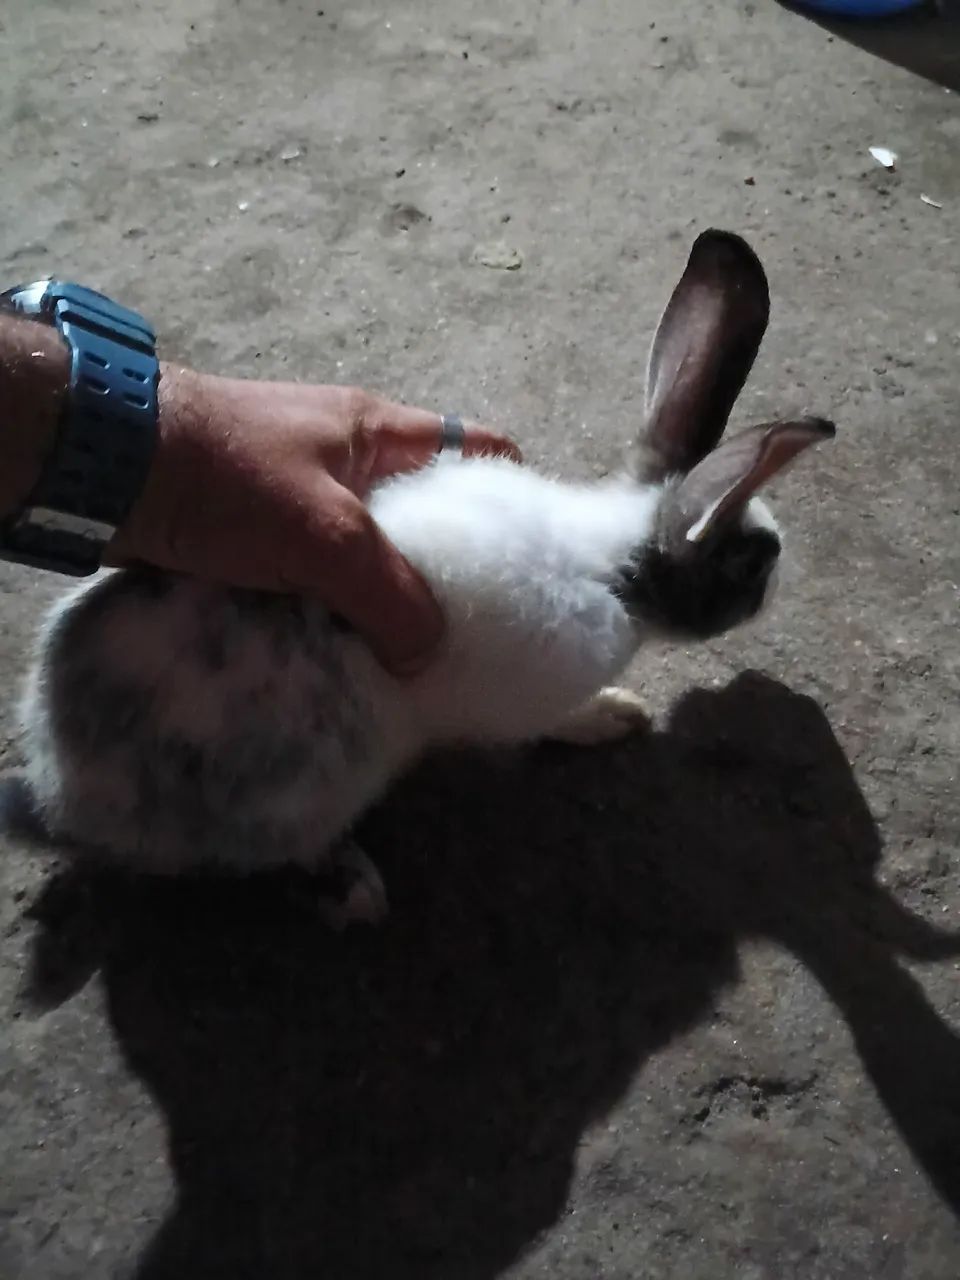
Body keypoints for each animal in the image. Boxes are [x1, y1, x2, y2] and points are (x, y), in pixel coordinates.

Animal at [18, 229, 833, 924]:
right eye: (754, 565)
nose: (779, 588)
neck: (614, 569)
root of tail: (64, 784)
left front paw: (624, 710)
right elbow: (552, 721)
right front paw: (611, 716)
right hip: (307, 787)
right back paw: (355, 889)